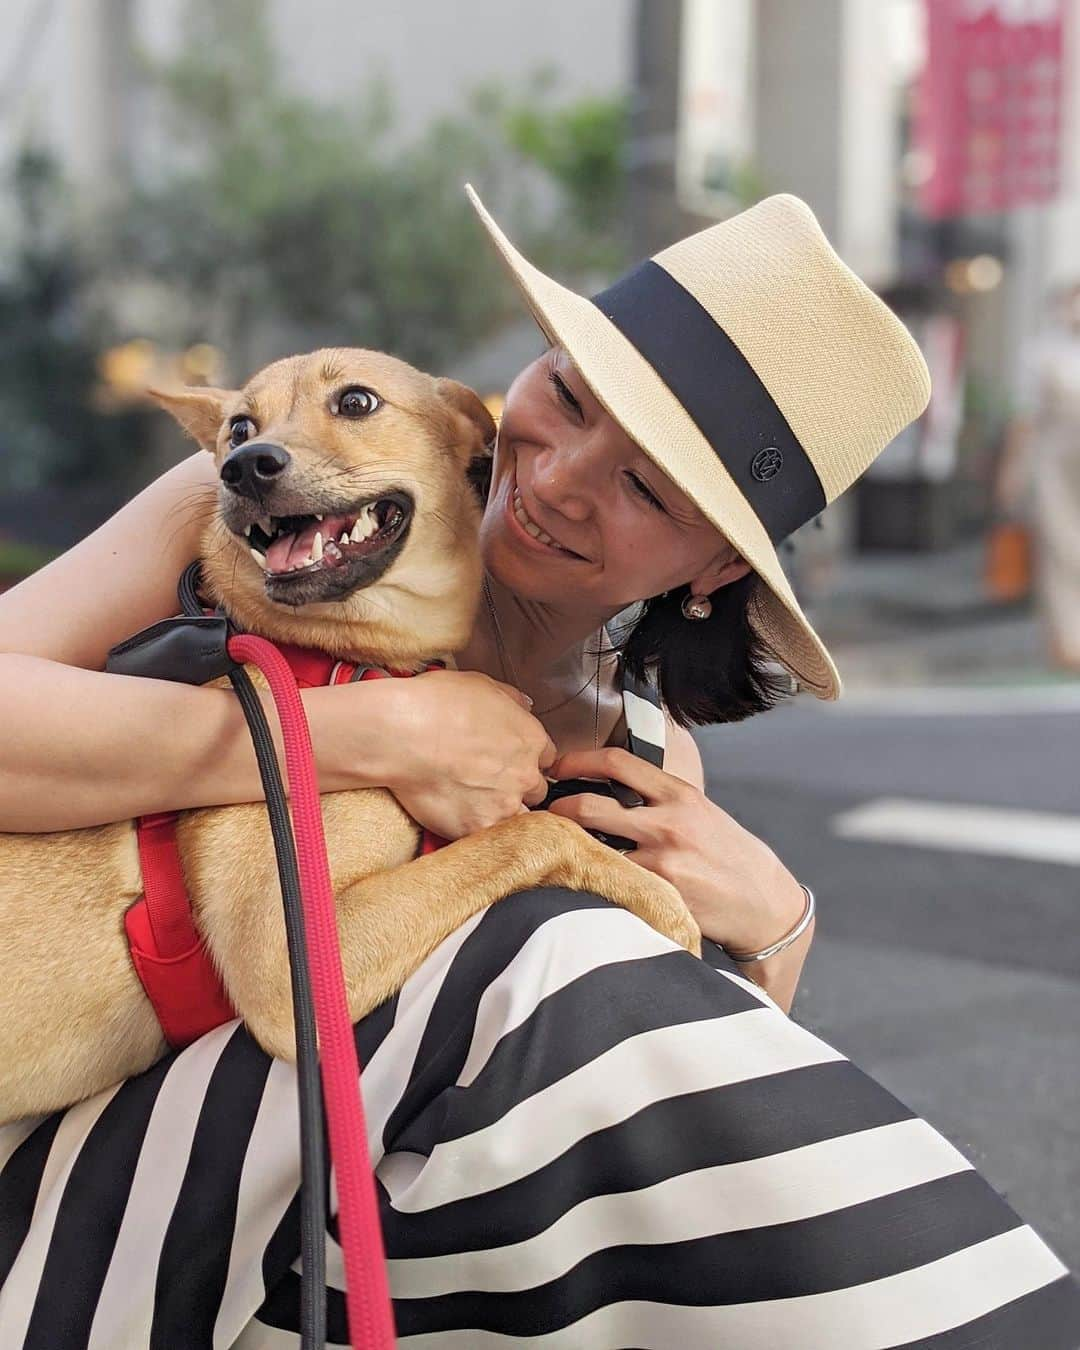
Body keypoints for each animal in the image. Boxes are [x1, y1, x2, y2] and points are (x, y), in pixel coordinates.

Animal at [0, 345, 702, 1117]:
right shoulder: (290, 965)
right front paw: (663, 903)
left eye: (357, 403)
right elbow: (536, 833)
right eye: (239, 426)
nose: (243, 466)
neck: (343, 663)